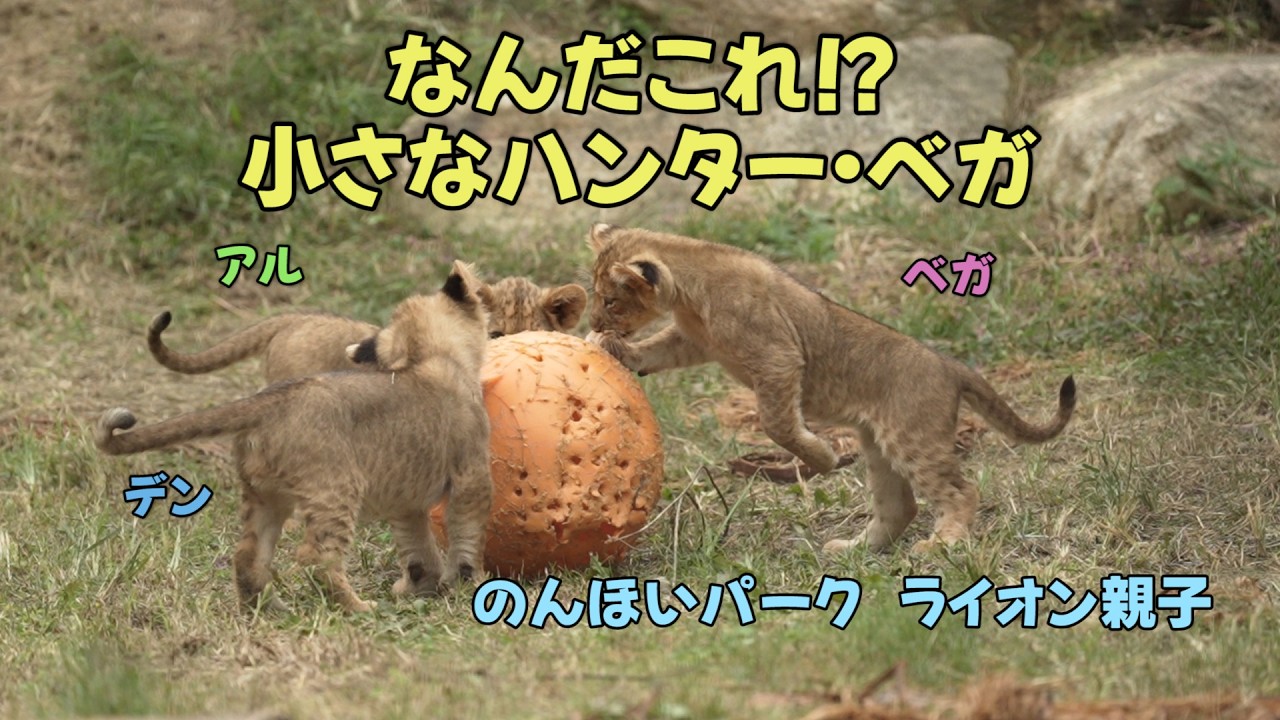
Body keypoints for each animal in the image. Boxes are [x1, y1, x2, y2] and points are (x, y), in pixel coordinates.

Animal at [95, 262, 493, 613]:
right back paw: (358, 607)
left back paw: (267, 609)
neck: (429, 355)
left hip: (266, 494)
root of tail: (269, 402)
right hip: (335, 488)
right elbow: (466, 531)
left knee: (248, 553)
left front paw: (420, 584)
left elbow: (416, 542)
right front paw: (466, 582)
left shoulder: (406, 496)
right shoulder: (471, 473)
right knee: (315, 556)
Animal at [583, 223, 1075, 553]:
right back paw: (855, 550)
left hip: (913, 437)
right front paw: (617, 351)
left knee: (961, 491)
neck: (689, 291)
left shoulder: (778, 358)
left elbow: (777, 422)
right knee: (900, 507)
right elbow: (655, 351)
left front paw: (820, 459)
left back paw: (943, 544)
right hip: (879, 445)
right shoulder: (693, 342)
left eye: (610, 300)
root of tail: (950, 365)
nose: (594, 323)